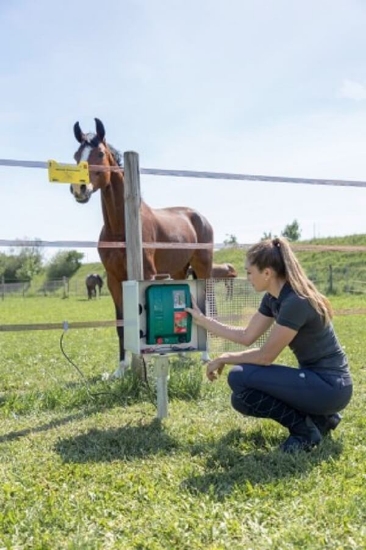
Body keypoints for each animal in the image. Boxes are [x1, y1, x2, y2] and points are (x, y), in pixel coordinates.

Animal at [70, 117, 214, 376]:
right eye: (77, 155)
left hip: (203, 268)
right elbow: (121, 324)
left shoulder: (144, 275)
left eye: (99, 153)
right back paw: (182, 354)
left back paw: (205, 356)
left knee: (205, 308)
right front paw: (120, 369)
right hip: (180, 271)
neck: (120, 229)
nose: (79, 189)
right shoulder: (114, 280)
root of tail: (199, 216)